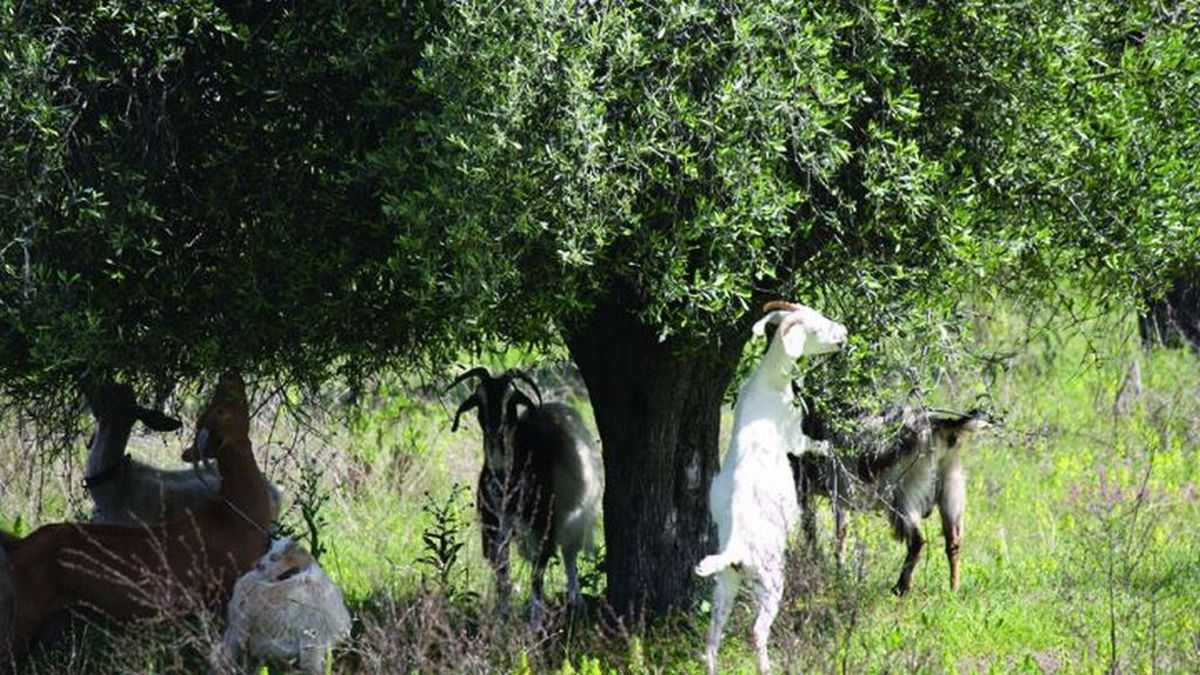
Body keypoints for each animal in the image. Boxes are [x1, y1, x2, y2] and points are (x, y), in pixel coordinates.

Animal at [0, 369, 271, 658]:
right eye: (217, 409)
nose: (229, 374)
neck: (238, 514)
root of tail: (17, 547)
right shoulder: (224, 589)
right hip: (29, 608)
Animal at [448, 367, 604, 619]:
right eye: (479, 398)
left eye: (511, 398)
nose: (494, 429)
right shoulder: (493, 530)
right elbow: (502, 576)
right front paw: (502, 617)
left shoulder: (542, 528)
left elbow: (537, 575)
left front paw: (535, 618)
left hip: (576, 515)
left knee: (569, 552)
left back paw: (575, 600)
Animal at [691, 300, 849, 672]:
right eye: (816, 327)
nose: (844, 334)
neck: (768, 382)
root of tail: (735, 548)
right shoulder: (794, 436)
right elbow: (810, 444)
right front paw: (830, 447)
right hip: (770, 582)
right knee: (756, 631)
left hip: (726, 584)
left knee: (712, 638)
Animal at [792, 396, 988, 590]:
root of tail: (939, 425)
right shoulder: (841, 496)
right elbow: (841, 534)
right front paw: (839, 573)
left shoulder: (810, 483)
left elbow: (814, 528)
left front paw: (816, 561)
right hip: (951, 488)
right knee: (953, 541)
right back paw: (953, 589)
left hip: (904, 495)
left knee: (917, 540)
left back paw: (901, 587)